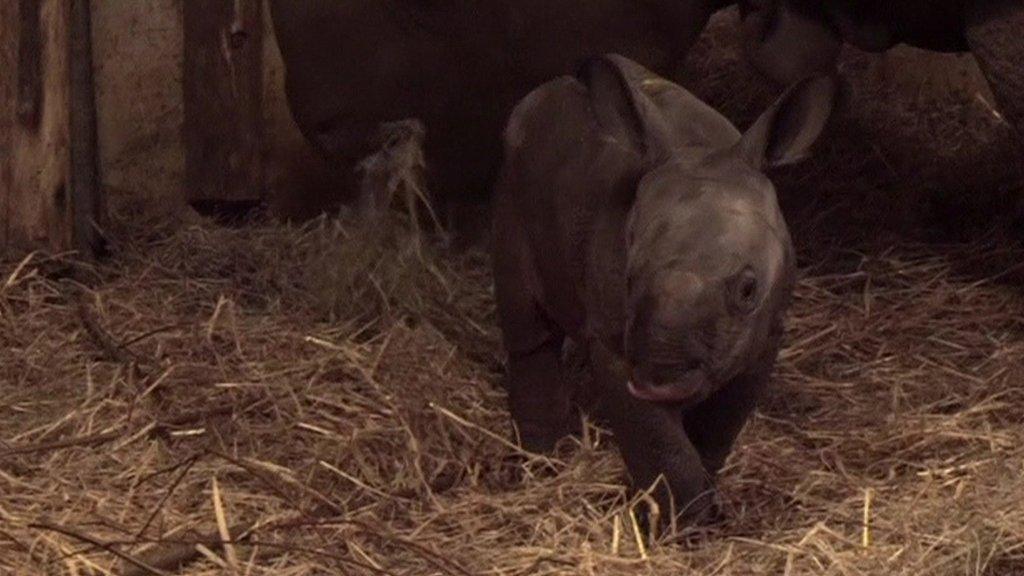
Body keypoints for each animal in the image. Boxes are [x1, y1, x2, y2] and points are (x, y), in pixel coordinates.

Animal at [491, 54, 835, 524]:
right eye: (629, 278)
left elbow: (718, 429)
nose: (660, 384)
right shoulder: (616, 343)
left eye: (748, 291)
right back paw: (542, 464)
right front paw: (684, 524)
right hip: (513, 187)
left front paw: (708, 502)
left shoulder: (767, 333)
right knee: (528, 331)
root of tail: (541, 95)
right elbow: (659, 444)